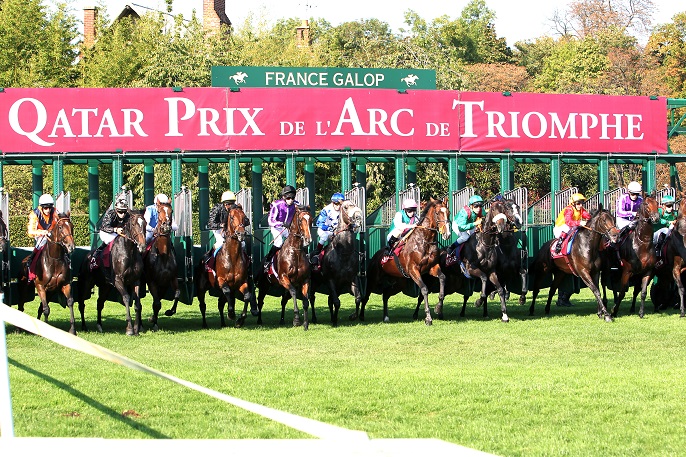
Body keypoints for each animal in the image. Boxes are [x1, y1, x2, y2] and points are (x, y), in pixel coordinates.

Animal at [144, 201, 180, 330]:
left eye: (171, 211)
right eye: (159, 211)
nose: (166, 226)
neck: (163, 255)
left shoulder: (170, 279)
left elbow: (177, 293)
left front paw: (169, 311)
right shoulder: (151, 281)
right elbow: (156, 303)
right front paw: (154, 323)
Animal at [354, 198, 452, 326]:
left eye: (448, 213)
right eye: (437, 213)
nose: (447, 234)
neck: (424, 241)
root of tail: (375, 256)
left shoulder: (432, 267)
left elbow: (442, 278)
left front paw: (438, 308)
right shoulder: (413, 270)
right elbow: (424, 290)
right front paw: (428, 318)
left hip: (398, 281)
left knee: (385, 295)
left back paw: (386, 317)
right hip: (373, 279)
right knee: (366, 296)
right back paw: (361, 316)